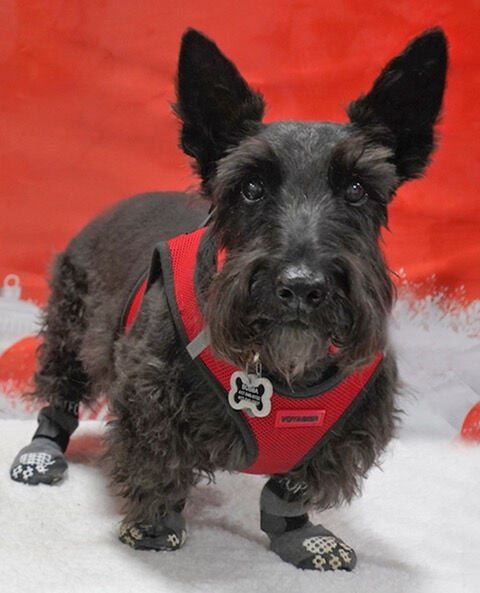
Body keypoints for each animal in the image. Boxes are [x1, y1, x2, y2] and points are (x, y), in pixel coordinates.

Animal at [10, 27, 446, 568]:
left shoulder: (345, 431)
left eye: (358, 189)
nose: (301, 287)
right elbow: (158, 465)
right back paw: (42, 452)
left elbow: (288, 490)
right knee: (61, 393)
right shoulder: (150, 401)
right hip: (71, 326)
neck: (280, 373)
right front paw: (155, 525)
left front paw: (303, 537)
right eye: (251, 187)